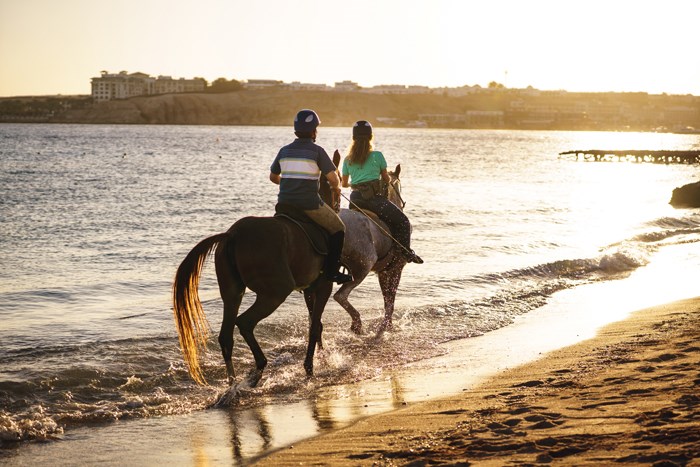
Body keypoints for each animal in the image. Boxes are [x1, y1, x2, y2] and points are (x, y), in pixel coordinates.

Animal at [175, 181, 340, 386]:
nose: (337, 204)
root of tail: (233, 235)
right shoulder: (324, 287)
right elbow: (315, 326)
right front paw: (310, 366)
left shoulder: (310, 290)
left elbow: (315, 324)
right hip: (275, 294)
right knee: (245, 322)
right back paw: (258, 368)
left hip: (233, 294)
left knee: (226, 337)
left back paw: (233, 383)